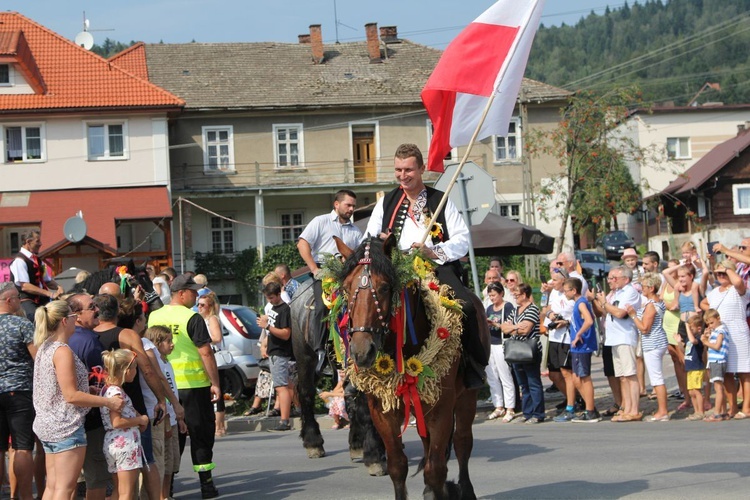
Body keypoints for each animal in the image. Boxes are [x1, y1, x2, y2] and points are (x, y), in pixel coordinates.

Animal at [338, 235, 490, 500]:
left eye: (384, 287)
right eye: (346, 289)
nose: (361, 352)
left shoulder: (442, 408)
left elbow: (436, 468)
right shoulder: (382, 412)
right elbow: (398, 466)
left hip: (466, 397)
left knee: (462, 442)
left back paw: (465, 490)